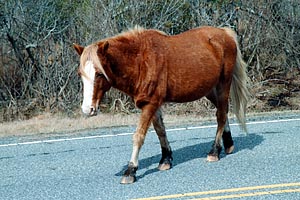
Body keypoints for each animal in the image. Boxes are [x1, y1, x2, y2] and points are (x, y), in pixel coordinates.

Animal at [74, 26, 250, 184]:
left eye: (98, 73)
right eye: (80, 73)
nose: (87, 109)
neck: (140, 60)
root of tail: (225, 33)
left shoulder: (150, 104)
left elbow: (139, 136)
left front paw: (131, 170)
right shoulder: (153, 104)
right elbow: (160, 131)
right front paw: (165, 160)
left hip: (223, 85)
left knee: (221, 116)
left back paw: (214, 151)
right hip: (209, 90)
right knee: (223, 111)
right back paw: (228, 144)